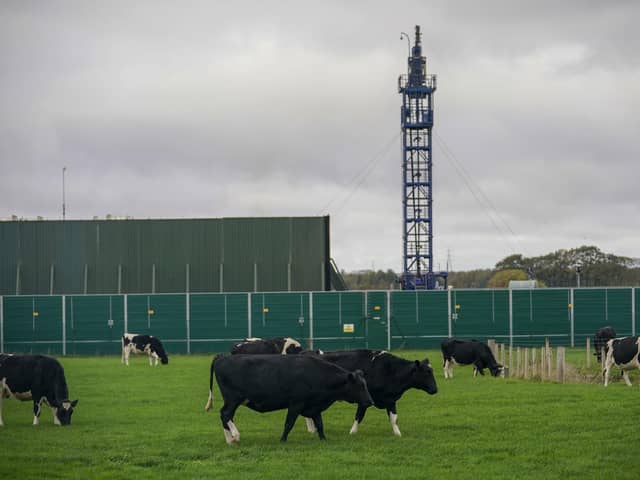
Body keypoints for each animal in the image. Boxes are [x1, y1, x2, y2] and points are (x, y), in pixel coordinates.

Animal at [205, 352, 372, 442]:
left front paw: (323, 439)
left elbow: (320, 424)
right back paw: (235, 435)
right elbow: (289, 424)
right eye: (359, 386)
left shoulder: (314, 406)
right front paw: (283, 440)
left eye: (365, 384)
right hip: (233, 399)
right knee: (226, 414)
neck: (316, 374)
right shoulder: (296, 404)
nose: (370, 401)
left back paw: (229, 439)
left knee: (226, 416)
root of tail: (222, 357)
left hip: (232, 401)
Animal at [304, 348, 436, 436]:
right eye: (426, 372)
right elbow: (359, 416)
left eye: (431, 372)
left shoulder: (390, 399)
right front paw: (352, 432)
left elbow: (394, 418)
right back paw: (311, 429)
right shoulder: (364, 400)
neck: (390, 370)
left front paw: (398, 434)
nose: (435, 389)